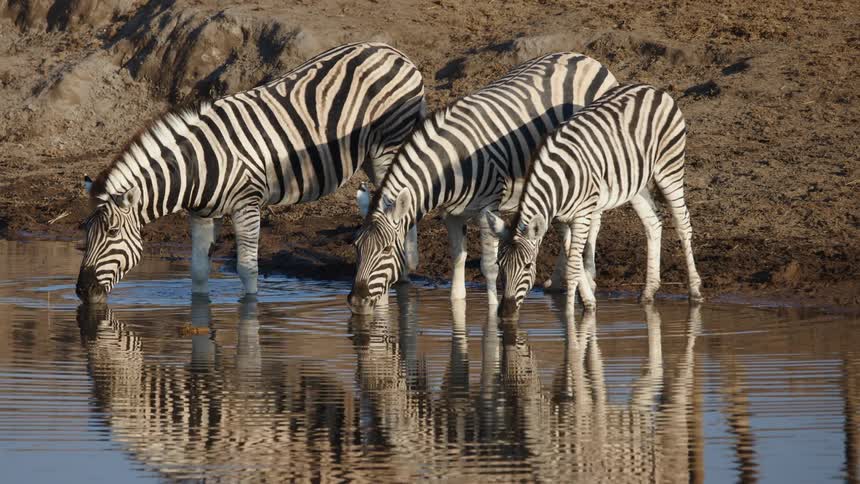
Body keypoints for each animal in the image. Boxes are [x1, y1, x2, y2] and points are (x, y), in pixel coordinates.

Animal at [76, 42, 426, 304]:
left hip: (389, 145)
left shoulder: (247, 204)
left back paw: (404, 270)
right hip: (368, 154)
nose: (81, 291)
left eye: (112, 233)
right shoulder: (201, 213)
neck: (198, 166)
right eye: (85, 232)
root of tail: (393, 51)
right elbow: (198, 271)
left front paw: (250, 310)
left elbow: (247, 269)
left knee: (401, 199)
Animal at [347, 52, 618, 314]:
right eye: (356, 246)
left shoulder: (488, 207)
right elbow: (457, 259)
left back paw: (588, 274)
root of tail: (587, 59)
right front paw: (458, 308)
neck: (450, 165)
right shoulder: (452, 213)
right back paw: (558, 280)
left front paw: (493, 311)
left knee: (594, 221)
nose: (357, 301)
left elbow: (489, 267)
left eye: (386, 250)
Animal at [485, 83, 703, 317]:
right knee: (652, 223)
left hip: (669, 167)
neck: (559, 180)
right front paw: (588, 301)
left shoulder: (582, 214)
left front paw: (570, 314)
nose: (505, 312)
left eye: (527, 266)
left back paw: (694, 291)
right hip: (636, 184)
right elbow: (573, 258)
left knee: (683, 223)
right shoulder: (560, 220)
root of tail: (652, 88)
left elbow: (573, 267)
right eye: (499, 265)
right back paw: (649, 291)